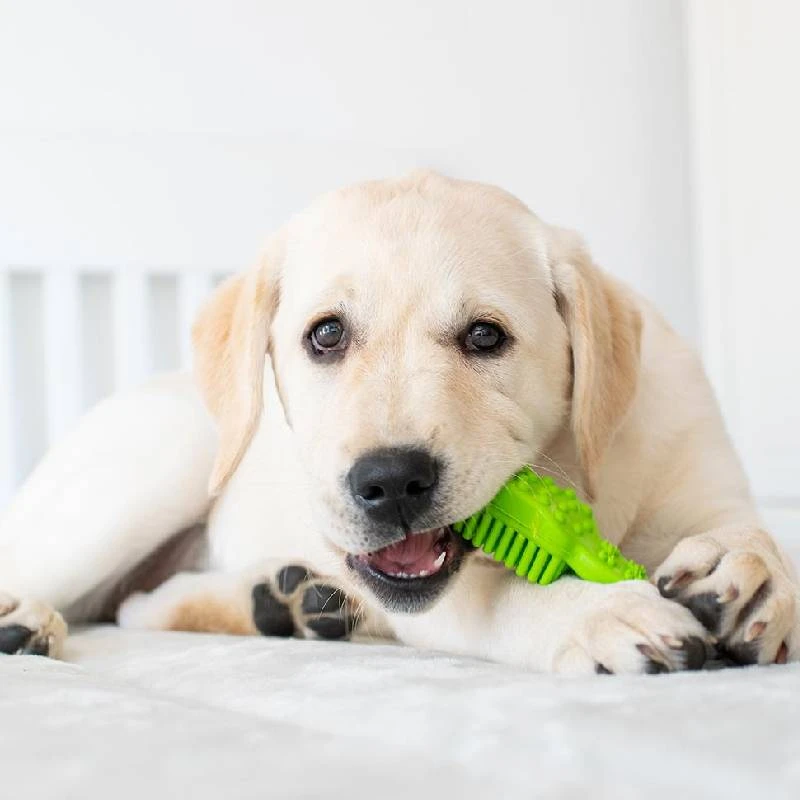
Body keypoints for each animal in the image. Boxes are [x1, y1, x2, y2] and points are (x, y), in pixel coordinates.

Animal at [1, 172, 800, 672]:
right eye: (326, 335)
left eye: (485, 336)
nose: (390, 483)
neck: (577, 474)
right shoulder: (452, 598)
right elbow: (509, 594)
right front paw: (597, 613)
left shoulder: (698, 468)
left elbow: (749, 531)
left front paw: (752, 573)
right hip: (163, 460)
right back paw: (26, 618)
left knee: (137, 606)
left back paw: (288, 602)